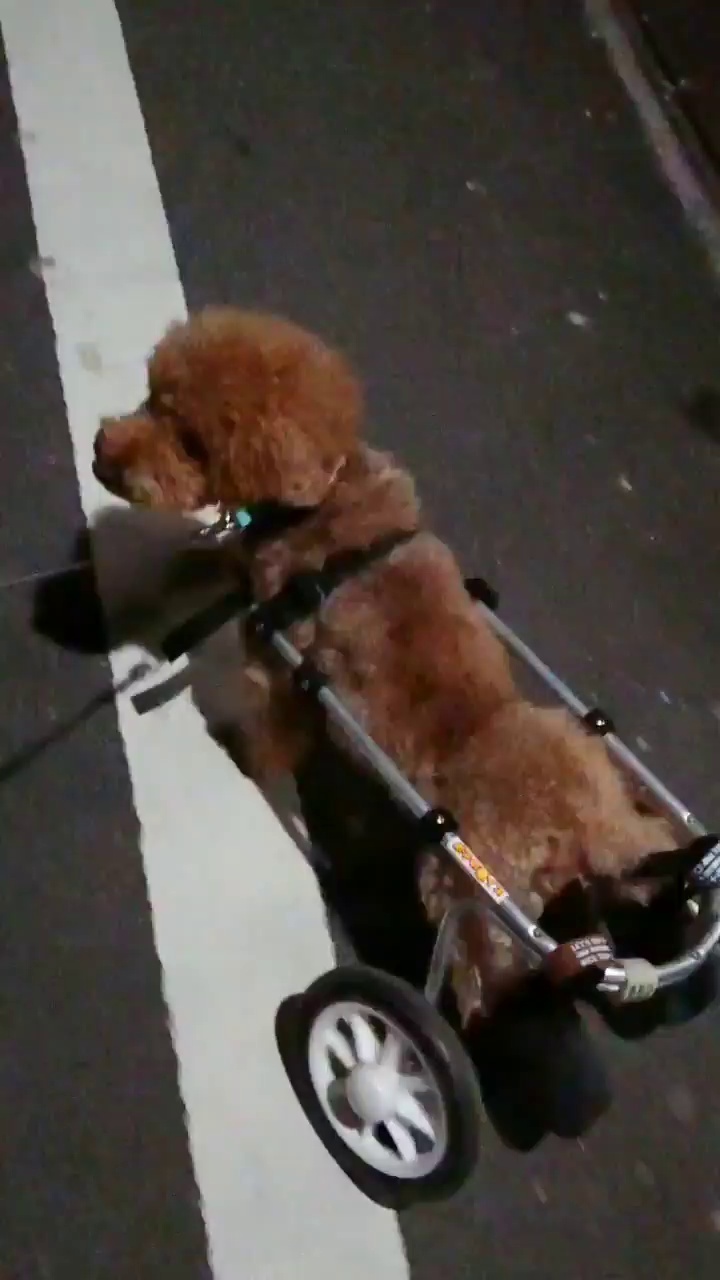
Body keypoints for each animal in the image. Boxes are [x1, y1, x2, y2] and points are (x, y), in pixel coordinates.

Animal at [94, 305, 677, 1024]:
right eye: (152, 397)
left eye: (190, 440)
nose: (103, 454)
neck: (327, 494)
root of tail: (588, 825)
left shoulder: (286, 671)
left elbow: (271, 732)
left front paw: (248, 756)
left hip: (464, 893)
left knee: (478, 981)